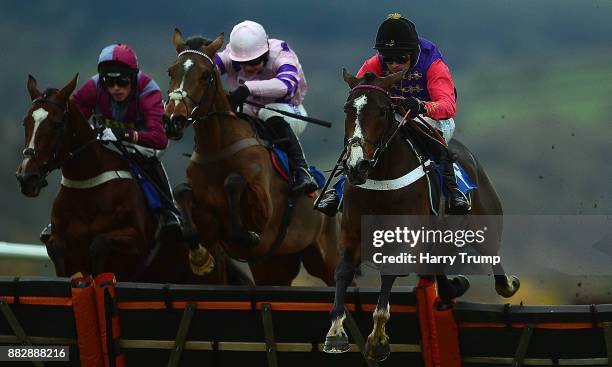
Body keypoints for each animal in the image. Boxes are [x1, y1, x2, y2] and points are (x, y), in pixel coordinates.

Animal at [15, 75, 237, 284]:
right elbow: (57, 248)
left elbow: (100, 243)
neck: (87, 185)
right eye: (25, 121)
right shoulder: (62, 242)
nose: (27, 177)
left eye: (57, 124)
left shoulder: (136, 244)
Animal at [163, 30, 342, 286]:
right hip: (273, 266)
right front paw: (199, 259)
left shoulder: (264, 211)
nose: (173, 120)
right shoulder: (209, 225)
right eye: (171, 71)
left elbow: (234, 184)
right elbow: (182, 195)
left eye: (205, 75)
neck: (217, 147)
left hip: (327, 259)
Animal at [322, 69, 520, 362]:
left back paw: (507, 283)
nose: (357, 166)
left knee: (493, 256)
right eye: (347, 109)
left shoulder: (404, 237)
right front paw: (335, 332)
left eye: (383, 111)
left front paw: (378, 339)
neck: (381, 177)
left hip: (485, 221)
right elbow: (343, 272)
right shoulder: (351, 233)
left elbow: (390, 273)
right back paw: (453, 287)